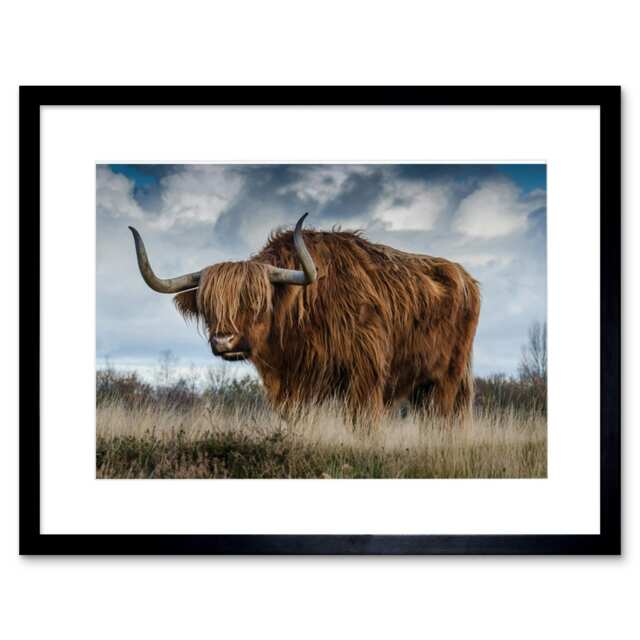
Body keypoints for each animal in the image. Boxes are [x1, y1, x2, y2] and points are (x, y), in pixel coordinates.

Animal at [129, 214, 481, 423]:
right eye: (208, 305)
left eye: (256, 301)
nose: (223, 340)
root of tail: (465, 277)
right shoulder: (291, 385)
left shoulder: (365, 375)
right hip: (423, 384)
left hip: (448, 378)